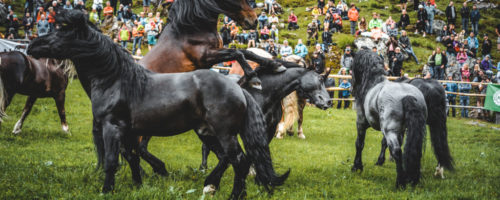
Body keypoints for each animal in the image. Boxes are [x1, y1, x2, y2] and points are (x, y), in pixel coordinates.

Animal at [28, 10, 290, 198]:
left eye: (63, 31)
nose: (32, 46)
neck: (116, 80)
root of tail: (238, 88)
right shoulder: (129, 132)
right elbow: (133, 158)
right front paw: (138, 186)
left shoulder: (112, 127)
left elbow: (112, 162)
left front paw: (106, 190)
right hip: (208, 132)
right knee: (232, 160)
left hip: (225, 134)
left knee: (240, 162)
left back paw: (233, 194)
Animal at [352, 48, 426, 188]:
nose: (352, 88)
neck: (373, 82)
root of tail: (407, 95)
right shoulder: (399, 130)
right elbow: (383, 143)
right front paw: (379, 161)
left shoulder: (361, 123)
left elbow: (359, 144)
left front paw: (357, 166)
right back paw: (413, 179)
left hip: (390, 130)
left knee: (397, 151)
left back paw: (400, 183)